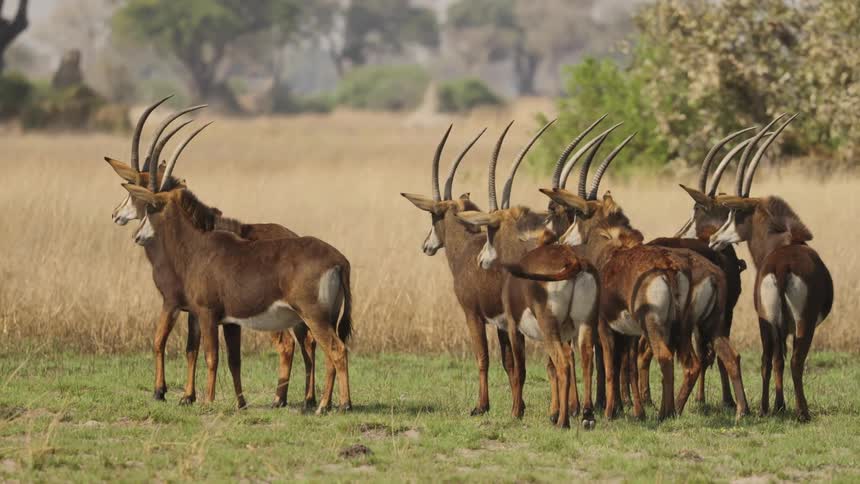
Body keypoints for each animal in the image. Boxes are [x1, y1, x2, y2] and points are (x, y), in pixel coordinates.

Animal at [105, 97, 318, 409]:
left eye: (136, 193)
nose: (116, 215)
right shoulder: (196, 310)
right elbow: (192, 348)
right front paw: (188, 395)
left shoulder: (172, 302)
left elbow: (160, 341)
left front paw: (161, 391)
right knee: (309, 342)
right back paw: (306, 399)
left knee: (288, 344)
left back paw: (281, 398)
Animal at [401, 123, 531, 416]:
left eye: (433, 215)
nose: (426, 245)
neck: (466, 249)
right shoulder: (500, 323)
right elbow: (509, 364)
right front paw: (519, 405)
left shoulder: (472, 314)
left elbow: (483, 357)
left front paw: (481, 406)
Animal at [707, 114, 833, 421]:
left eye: (735, 213)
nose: (714, 239)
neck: (783, 241)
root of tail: (782, 267)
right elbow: (785, 359)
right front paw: (783, 405)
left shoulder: (775, 322)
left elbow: (775, 359)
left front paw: (777, 405)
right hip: (803, 321)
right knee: (797, 361)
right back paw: (802, 412)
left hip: (766, 318)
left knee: (769, 358)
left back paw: (765, 408)